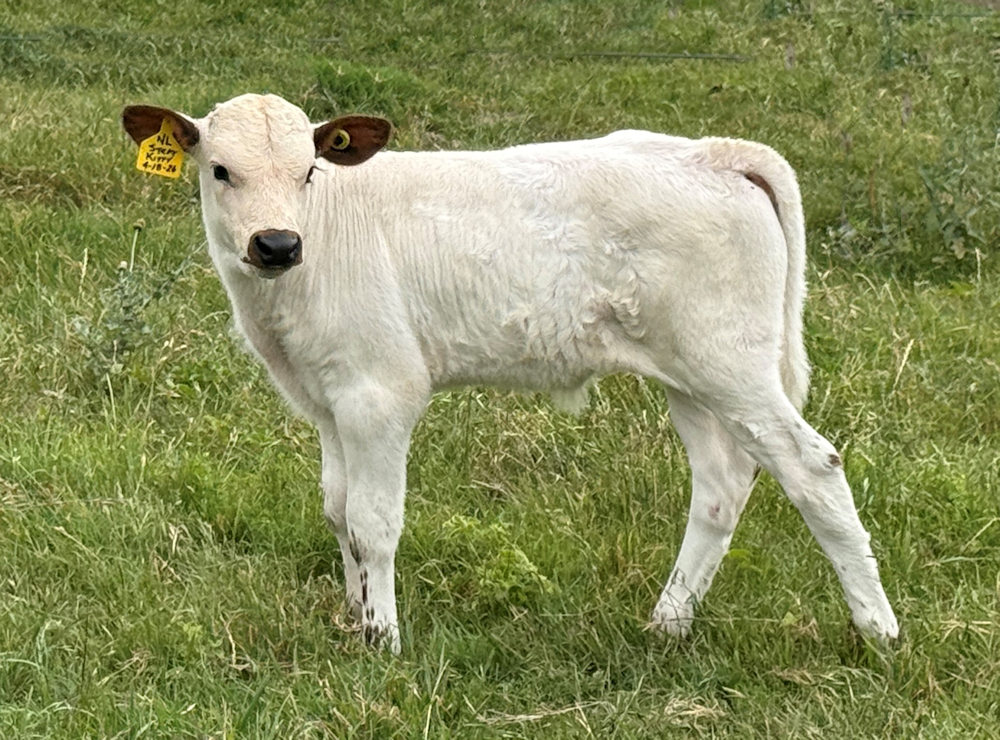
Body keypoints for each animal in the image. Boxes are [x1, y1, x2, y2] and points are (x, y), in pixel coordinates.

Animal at [122, 93, 899, 653]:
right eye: (220, 170)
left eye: (308, 171)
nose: (278, 244)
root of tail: (712, 153)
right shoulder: (328, 399)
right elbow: (338, 510)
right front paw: (353, 613)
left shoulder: (381, 392)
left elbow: (374, 521)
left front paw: (383, 640)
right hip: (691, 375)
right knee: (721, 485)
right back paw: (668, 623)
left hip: (731, 362)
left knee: (812, 467)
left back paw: (878, 632)